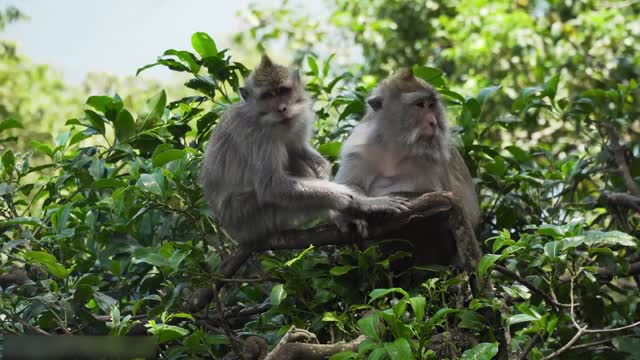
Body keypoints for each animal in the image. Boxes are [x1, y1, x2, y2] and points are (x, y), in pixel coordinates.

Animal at [200, 55, 410, 248]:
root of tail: (231, 233)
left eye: (283, 91)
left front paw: (324, 169)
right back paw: (341, 214)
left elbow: (298, 149)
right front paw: (360, 202)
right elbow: (272, 185)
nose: (282, 108)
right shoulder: (255, 135)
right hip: (250, 219)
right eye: (268, 96)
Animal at [336, 68, 480, 270]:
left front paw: (388, 200)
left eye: (431, 105)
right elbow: (350, 187)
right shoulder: (359, 148)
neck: (397, 146)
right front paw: (364, 209)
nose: (434, 123)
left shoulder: (437, 157)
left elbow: (445, 200)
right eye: (420, 105)